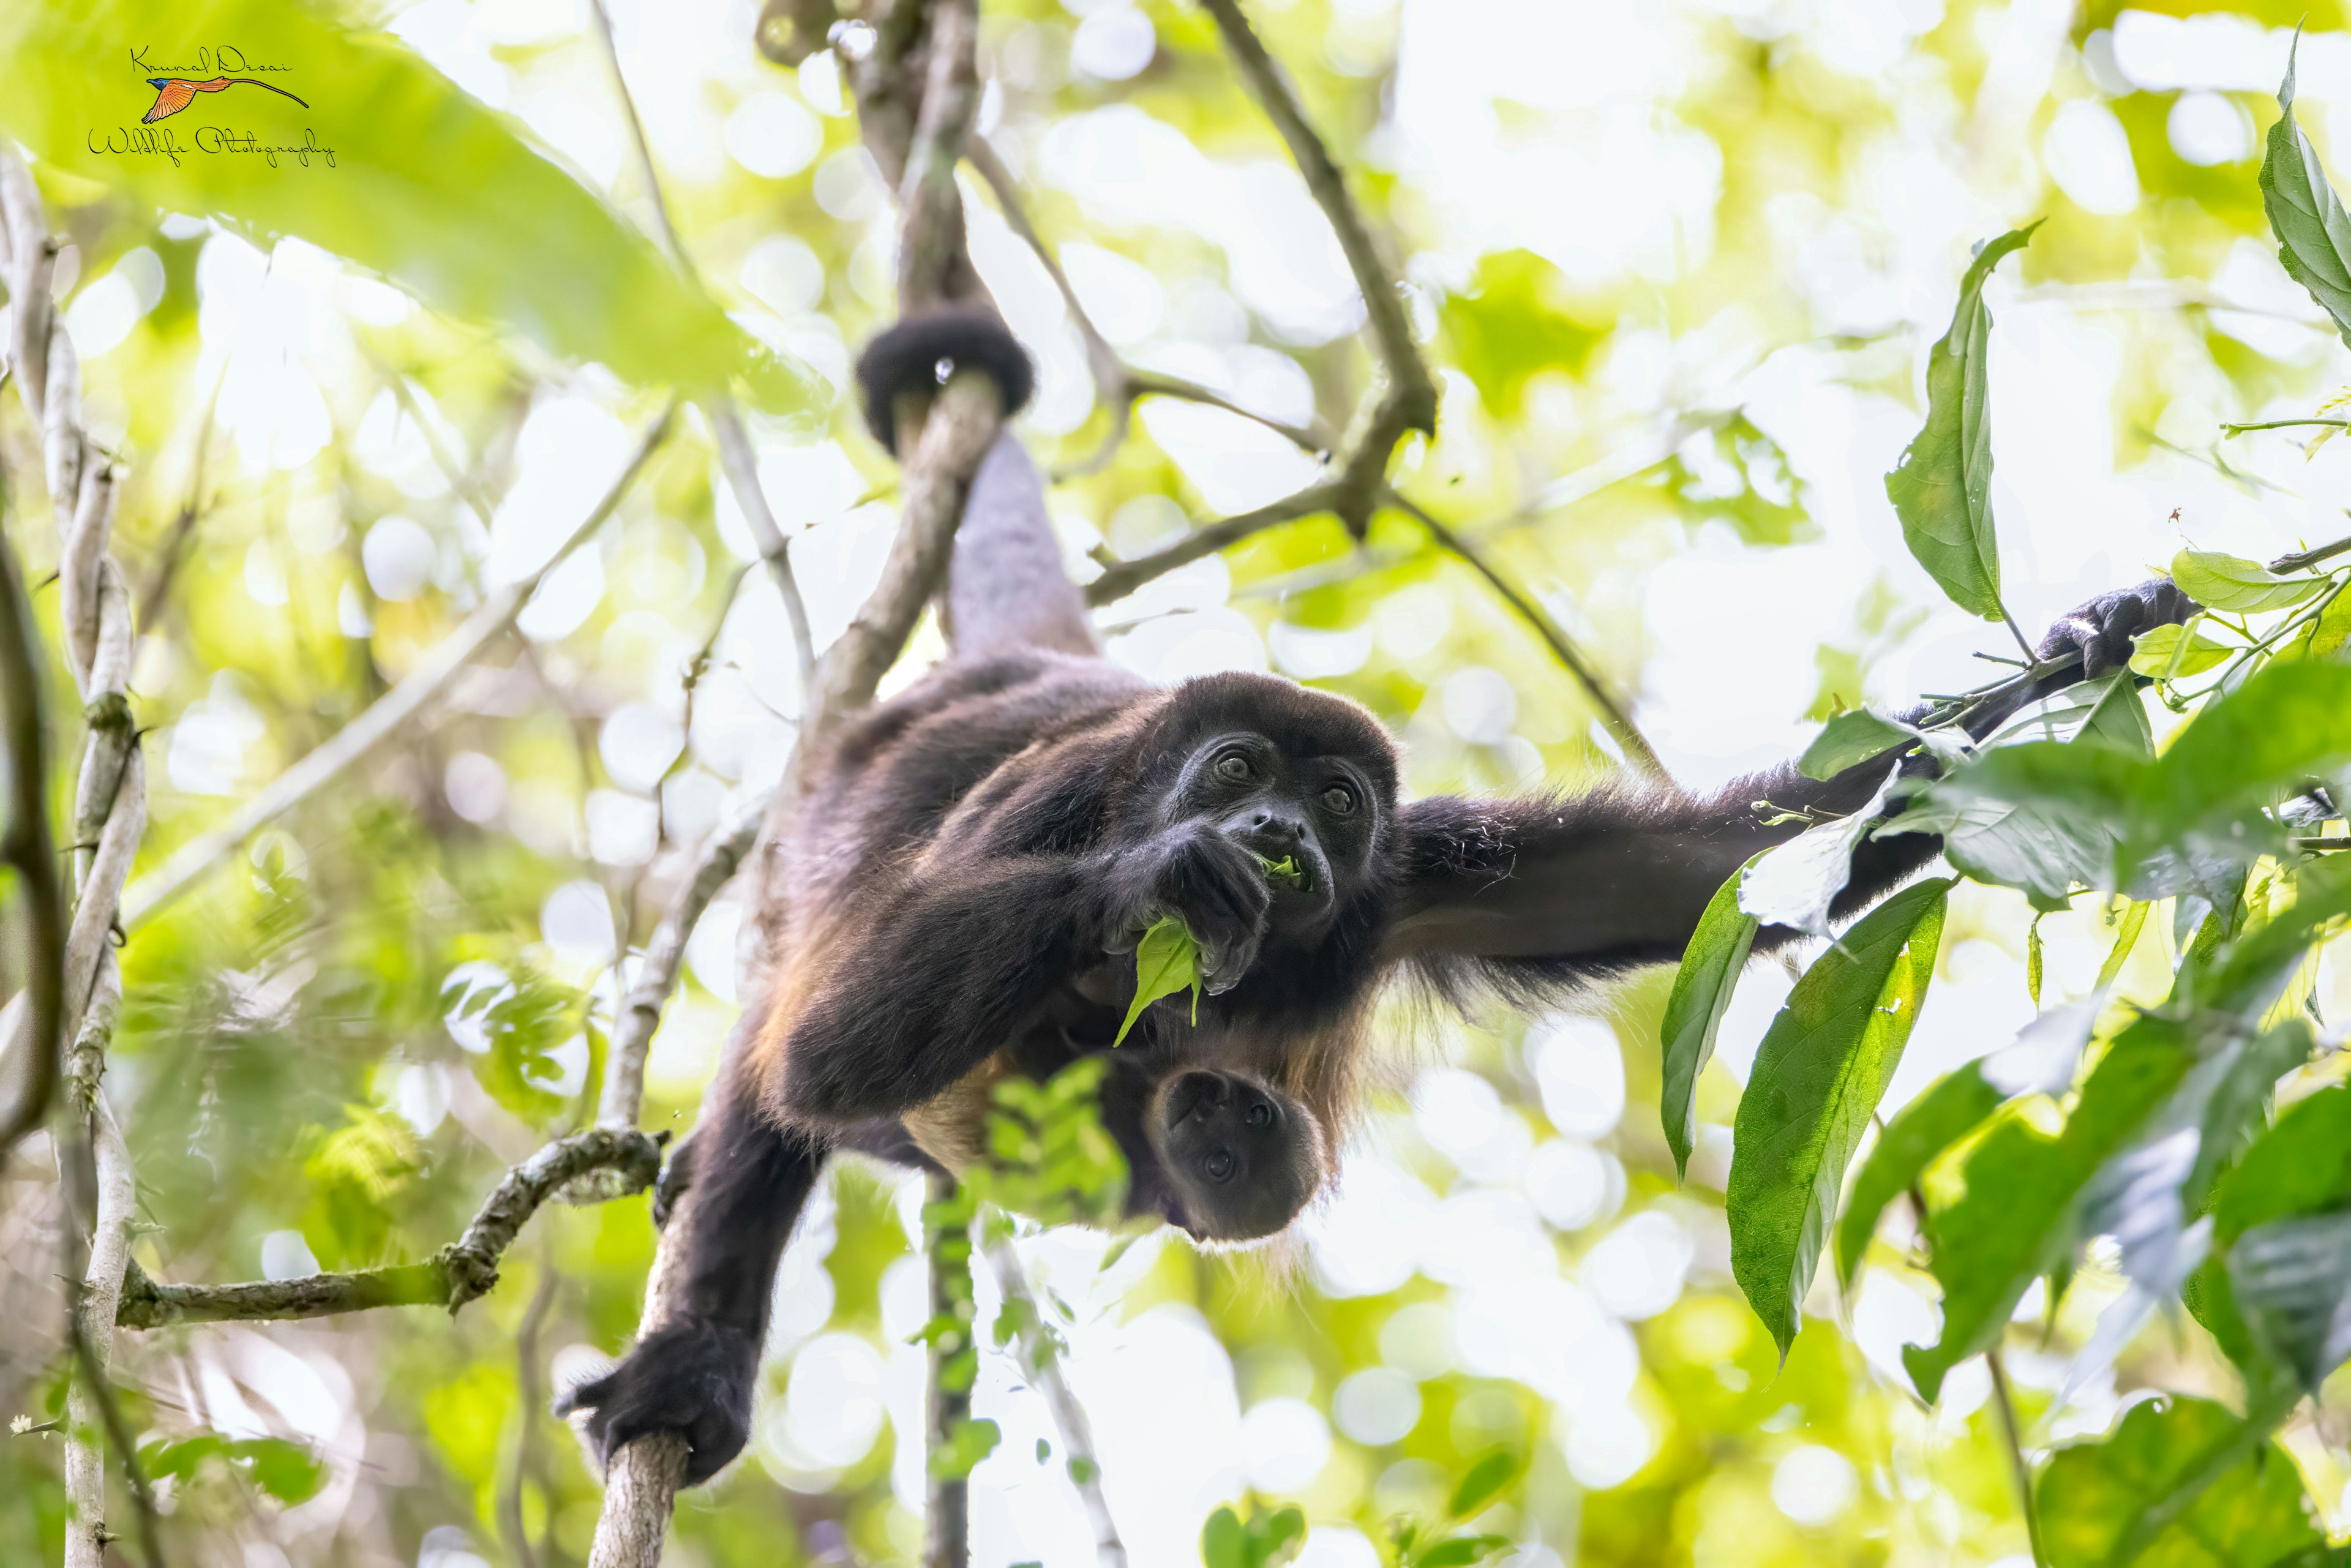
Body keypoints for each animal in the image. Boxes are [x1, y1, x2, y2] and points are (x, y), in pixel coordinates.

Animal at [559, 306, 2191, 1485]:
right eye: (1231, 770)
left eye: (1337, 800)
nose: (1279, 824)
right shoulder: (1053, 800)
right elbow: (830, 1033)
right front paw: (1155, 879)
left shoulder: (1396, 880)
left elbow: (1701, 870)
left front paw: (2079, 647)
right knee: (778, 1067)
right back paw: (696, 1363)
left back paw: (1206, 1130)